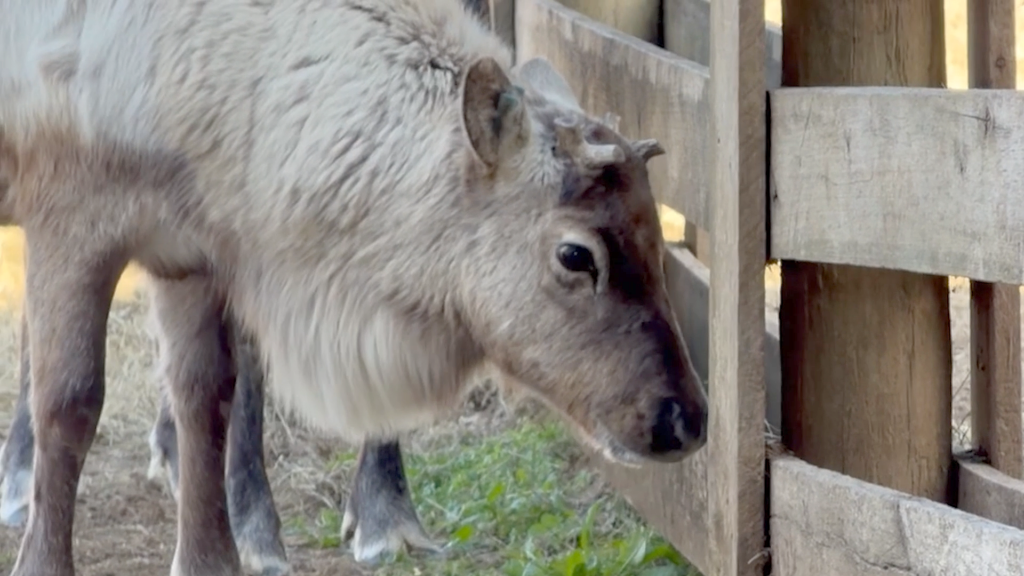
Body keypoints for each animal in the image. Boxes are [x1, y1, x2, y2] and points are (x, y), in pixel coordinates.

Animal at [0, 0, 709, 574]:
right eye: (575, 254)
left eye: (658, 240)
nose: (686, 418)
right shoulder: (70, 212)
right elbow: (71, 399)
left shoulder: (189, 252)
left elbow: (206, 400)